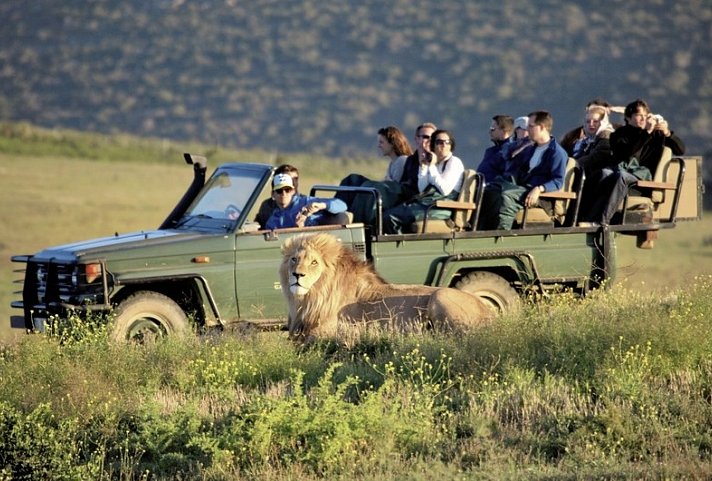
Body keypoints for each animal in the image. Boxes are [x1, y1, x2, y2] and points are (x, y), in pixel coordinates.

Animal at [280, 232, 496, 338]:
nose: (297, 275)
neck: (309, 298)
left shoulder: (328, 332)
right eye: (294, 259)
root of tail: (489, 312)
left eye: (314, 262)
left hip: (441, 296)